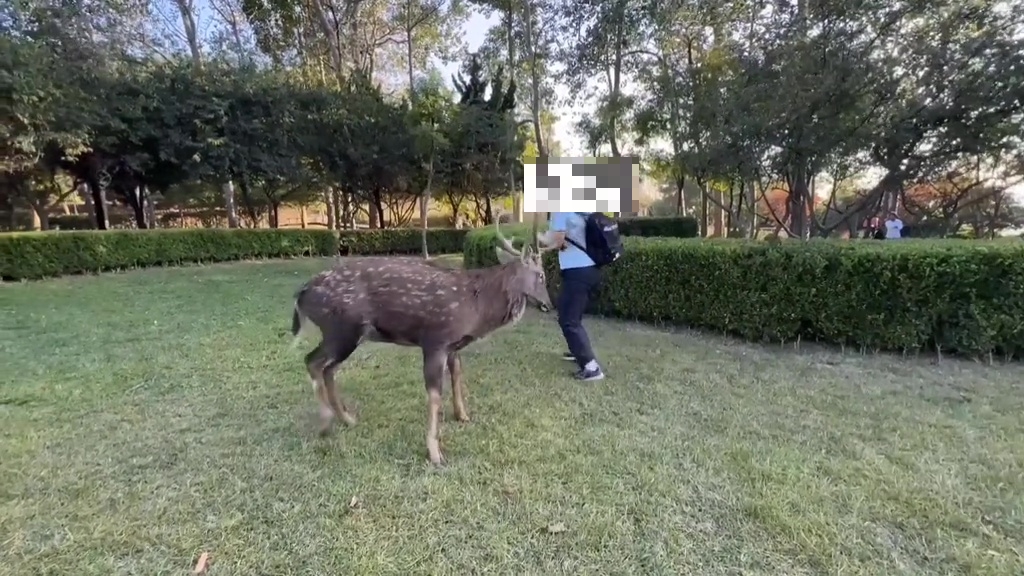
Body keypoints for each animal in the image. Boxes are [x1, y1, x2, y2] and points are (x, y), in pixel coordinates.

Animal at [290, 218, 556, 465]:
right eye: (541, 275)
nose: (550, 304)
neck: (476, 309)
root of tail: (301, 294)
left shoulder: (453, 345)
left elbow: (457, 374)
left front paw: (463, 416)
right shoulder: (435, 339)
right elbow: (435, 394)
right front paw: (435, 453)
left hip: (346, 336)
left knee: (327, 368)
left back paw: (347, 419)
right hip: (341, 329)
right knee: (312, 361)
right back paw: (326, 424)